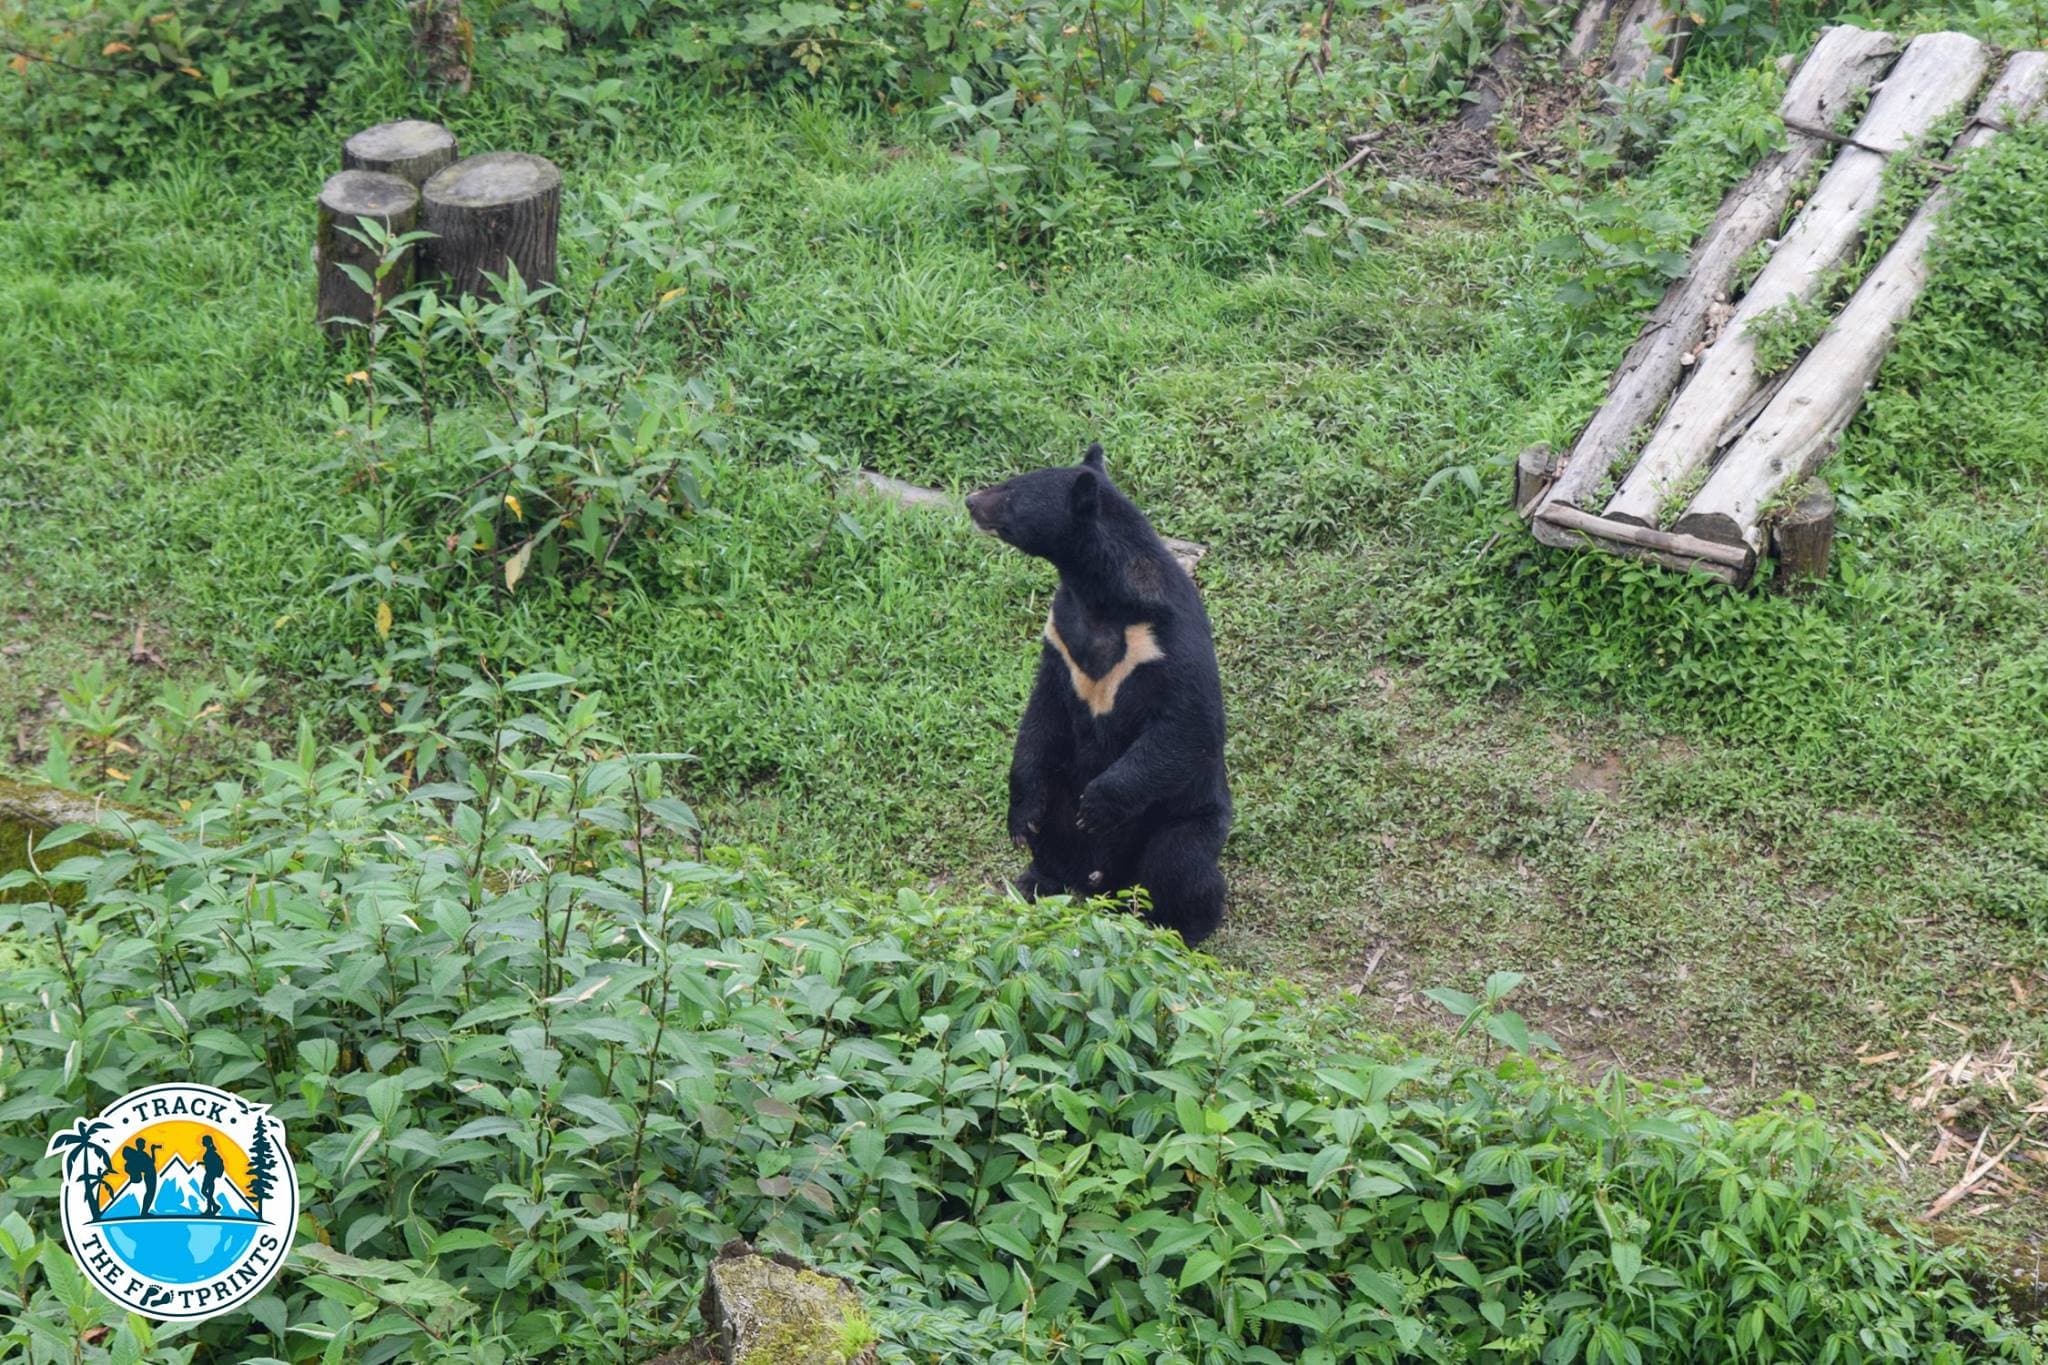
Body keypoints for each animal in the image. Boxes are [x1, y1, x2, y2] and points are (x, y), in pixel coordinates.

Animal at [966, 442, 1231, 947]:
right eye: (1010, 480)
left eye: (1011, 493)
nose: (971, 500)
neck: (1097, 593)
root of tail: (1103, 880)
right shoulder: (1061, 637)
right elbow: (1041, 713)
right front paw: (1018, 821)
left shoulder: (1167, 641)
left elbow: (1190, 725)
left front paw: (1098, 806)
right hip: (1063, 793)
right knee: (1051, 817)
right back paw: (1037, 880)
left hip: (1184, 816)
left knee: (1181, 865)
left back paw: (1180, 928)